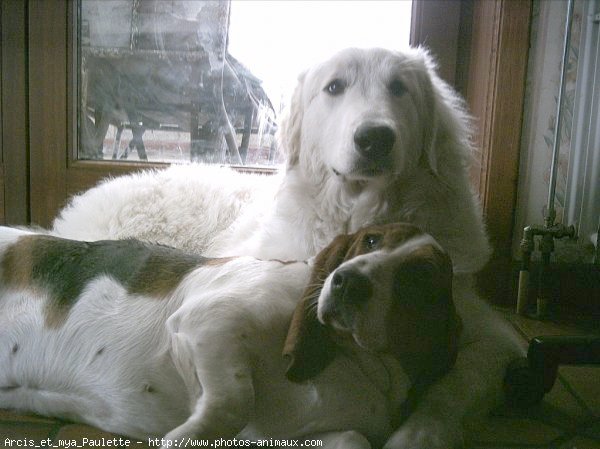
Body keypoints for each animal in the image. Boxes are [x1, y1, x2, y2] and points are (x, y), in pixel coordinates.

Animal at [0, 222, 460, 446]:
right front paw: (183, 438)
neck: (356, 360)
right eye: (371, 240)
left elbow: (353, 439)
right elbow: (236, 400)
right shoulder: (206, 321)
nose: (347, 282)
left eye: (420, 277)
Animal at [51, 47, 524, 446]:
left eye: (398, 88)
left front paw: (418, 433)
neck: (362, 210)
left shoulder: (494, 335)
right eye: (334, 87)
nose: (375, 137)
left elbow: (456, 382)